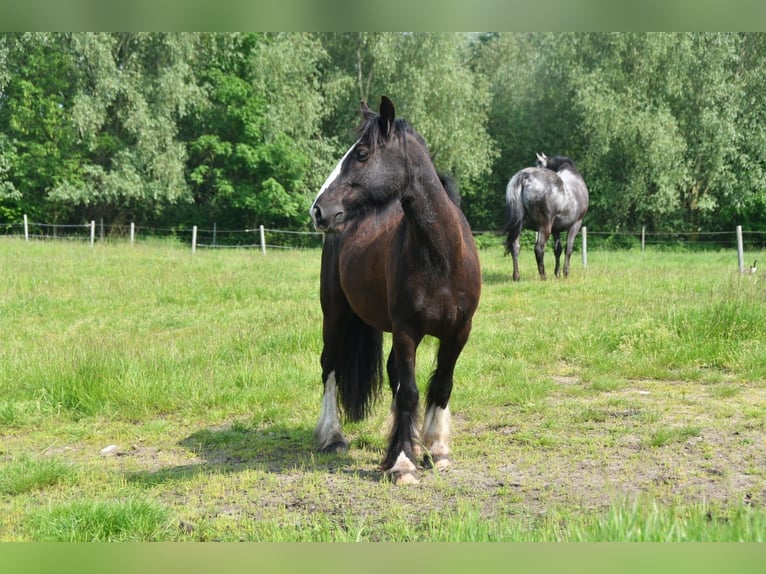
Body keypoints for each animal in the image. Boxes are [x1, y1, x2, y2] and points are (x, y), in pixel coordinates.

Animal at [310, 96, 481, 485]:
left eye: (361, 154)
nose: (318, 210)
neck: (441, 257)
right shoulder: (406, 331)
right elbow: (410, 393)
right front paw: (403, 463)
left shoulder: (459, 332)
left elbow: (440, 385)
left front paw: (435, 448)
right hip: (335, 314)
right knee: (330, 366)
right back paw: (332, 437)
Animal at [504, 152, 589, 281]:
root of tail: (526, 176)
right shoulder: (576, 224)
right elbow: (568, 248)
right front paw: (565, 273)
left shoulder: (556, 229)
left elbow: (557, 249)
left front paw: (557, 273)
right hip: (545, 227)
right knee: (539, 248)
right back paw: (543, 276)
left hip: (519, 225)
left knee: (515, 246)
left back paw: (516, 276)